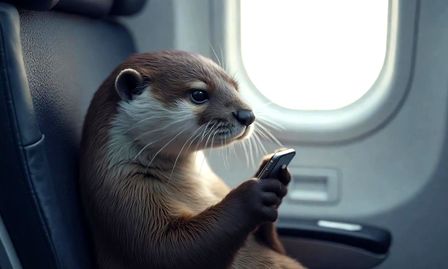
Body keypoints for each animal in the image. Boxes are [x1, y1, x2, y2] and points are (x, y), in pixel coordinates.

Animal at [79, 50, 304, 268]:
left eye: (235, 87)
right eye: (199, 94)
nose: (247, 115)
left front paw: (277, 179)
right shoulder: (127, 201)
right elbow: (170, 251)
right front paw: (252, 196)